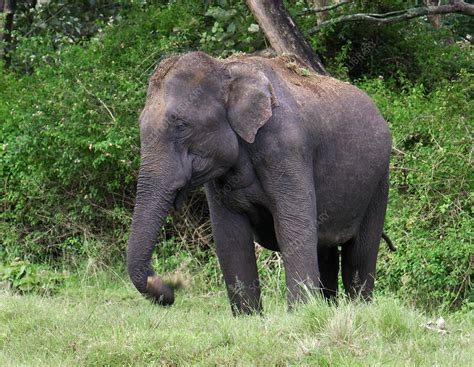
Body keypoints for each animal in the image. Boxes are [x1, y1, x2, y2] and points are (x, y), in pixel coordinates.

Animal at [127, 51, 392, 314]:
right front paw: (249, 317)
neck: (224, 68)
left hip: (379, 181)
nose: (170, 289)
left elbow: (294, 228)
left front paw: (300, 314)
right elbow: (230, 238)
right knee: (326, 252)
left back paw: (360, 309)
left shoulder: (287, 148)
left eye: (181, 125)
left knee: (360, 253)